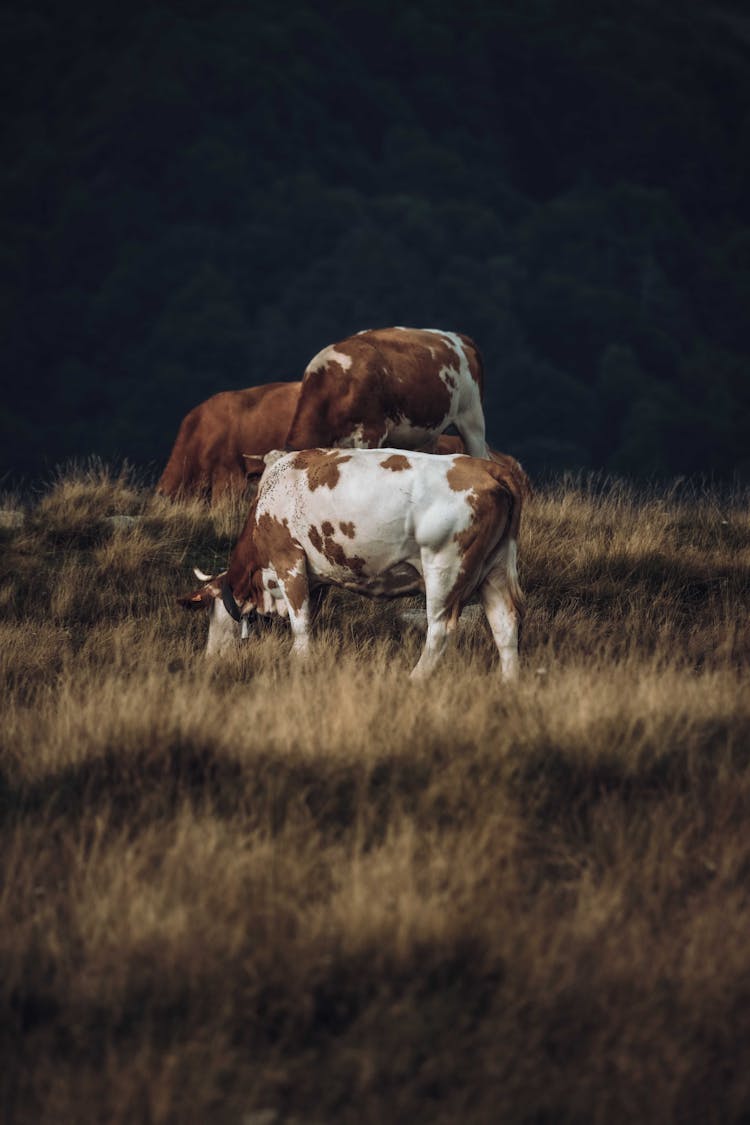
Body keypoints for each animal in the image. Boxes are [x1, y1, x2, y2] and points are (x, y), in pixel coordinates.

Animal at [178, 445, 526, 675]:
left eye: (212, 614)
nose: (209, 658)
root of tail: (488, 467)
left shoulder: (288, 559)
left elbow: (300, 624)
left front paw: (299, 662)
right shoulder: (317, 578)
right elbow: (311, 618)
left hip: (445, 567)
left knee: (440, 629)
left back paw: (415, 678)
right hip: (494, 568)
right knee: (505, 625)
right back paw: (509, 684)